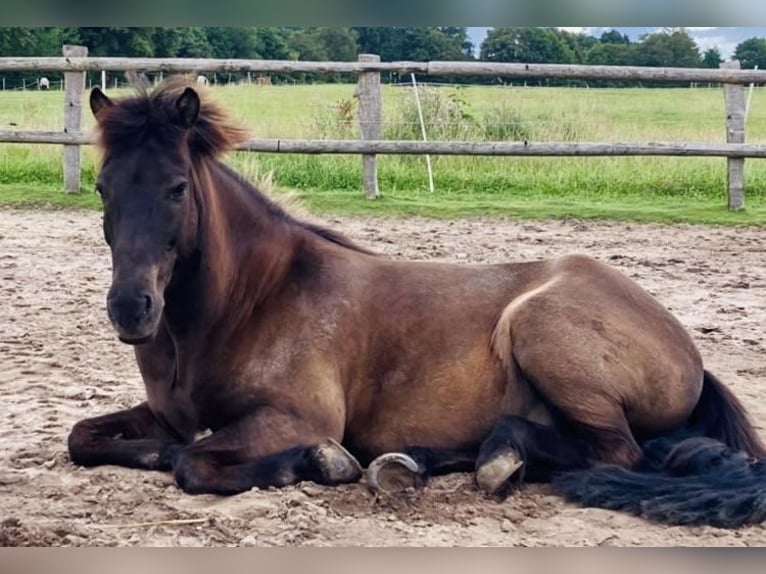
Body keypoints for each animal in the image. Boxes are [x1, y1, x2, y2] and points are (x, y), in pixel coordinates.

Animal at [66, 80, 766, 532]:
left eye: (177, 187)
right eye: (102, 187)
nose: (131, 309)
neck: (249, 300)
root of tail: (691, 354)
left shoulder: (296, 416)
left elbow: (193, 463)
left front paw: (321, 462)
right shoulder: (168, 415)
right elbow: (86, 440)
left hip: (538, 327)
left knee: (614, 453)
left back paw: (492, 460)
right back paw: (420, 462)